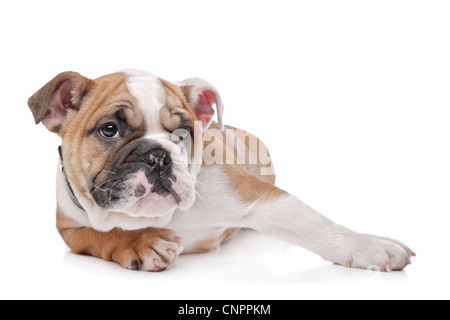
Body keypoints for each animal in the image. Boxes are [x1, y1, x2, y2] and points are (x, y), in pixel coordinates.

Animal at [27, 70, 414, 272]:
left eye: (183, 133)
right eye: (109, 130)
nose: (158, 156)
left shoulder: (259, 196)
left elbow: (312, 223)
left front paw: (369, 246)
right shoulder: (70, 228)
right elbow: (101, 235)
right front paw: (140, 242)